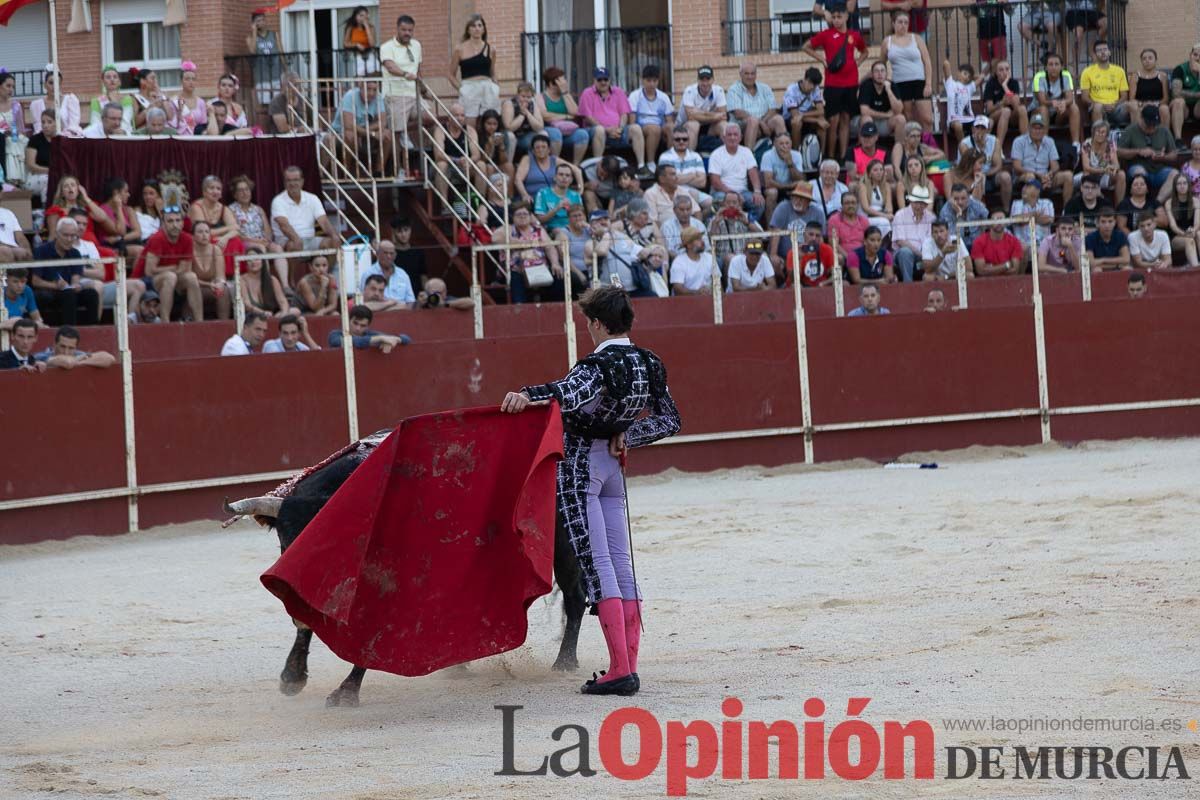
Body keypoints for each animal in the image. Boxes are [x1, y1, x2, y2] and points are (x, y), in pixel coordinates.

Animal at [225, 438, 585, 705]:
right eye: (285, 540)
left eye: (336, 541)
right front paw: (292, 676)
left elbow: (371, 635)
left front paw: (346, 692)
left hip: (564, 544)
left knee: (574, 597)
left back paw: (564, 663)